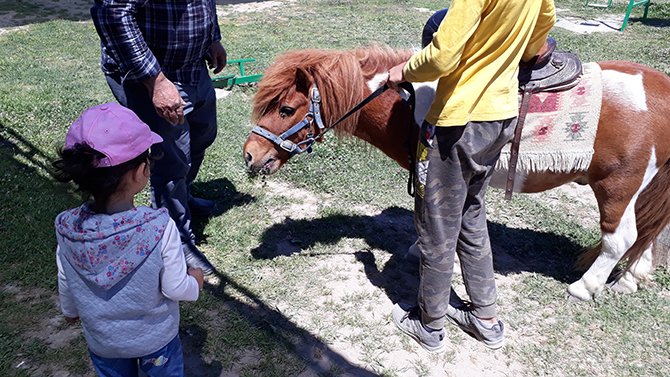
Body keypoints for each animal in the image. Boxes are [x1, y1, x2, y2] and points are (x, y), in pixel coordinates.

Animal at [244, 46, 670, 300]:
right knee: (649, 234)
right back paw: (630, 278)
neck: (409, 103)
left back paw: (586, 286)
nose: (249, 155)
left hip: (617, 186)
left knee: (620, 238)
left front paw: (419, 251)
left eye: (285, 109)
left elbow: (427, 219)